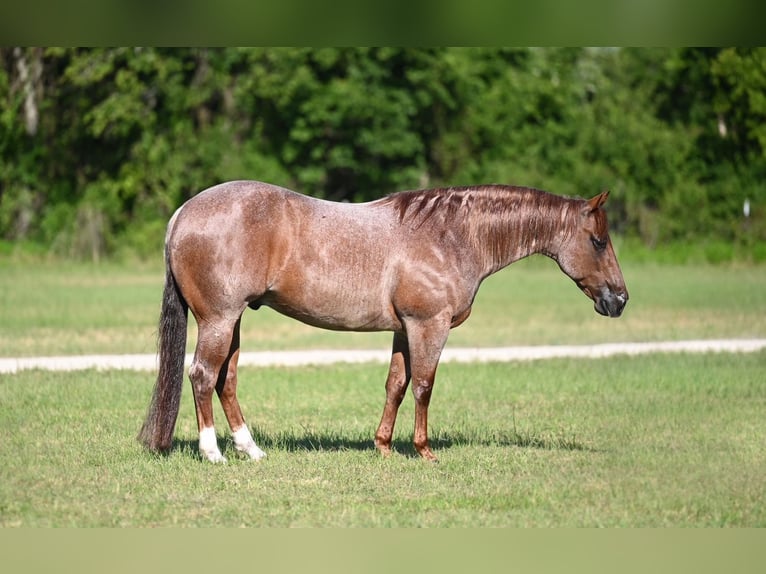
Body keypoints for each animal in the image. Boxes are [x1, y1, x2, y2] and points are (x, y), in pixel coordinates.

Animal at [137, 180, 628, 463]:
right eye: (598, 241)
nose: (620, 299)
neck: (450, 235)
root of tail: (182, 213)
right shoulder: (429, 325)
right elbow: (424, 385)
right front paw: (424, 451)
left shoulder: (402, 329)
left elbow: (396, 384)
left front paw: (384, 446)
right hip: (219, 319)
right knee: (203, 376)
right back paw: (213, 453)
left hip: (233, 321)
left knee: (227, 381)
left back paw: (251, 449)